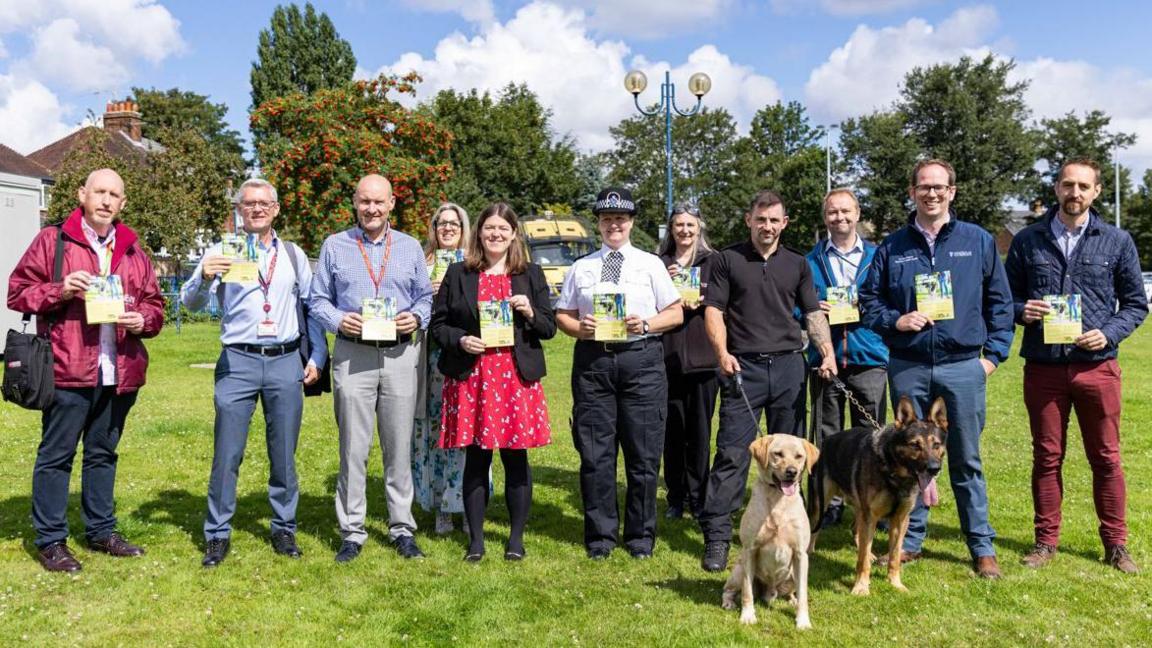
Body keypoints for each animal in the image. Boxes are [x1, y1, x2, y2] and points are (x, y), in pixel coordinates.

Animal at [806, 392, 949, 594]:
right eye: (915, 445)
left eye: (936, 445)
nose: (934, 469)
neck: (894, 473)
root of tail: (824, 442)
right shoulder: (871, 516)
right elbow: (862, 560)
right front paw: (861, 587)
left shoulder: (900, 520)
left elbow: (894, 556)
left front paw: (895, 583)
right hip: (821, 504)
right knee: (815, 528)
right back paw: (809, 551)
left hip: (860, 509)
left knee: (856, 530)